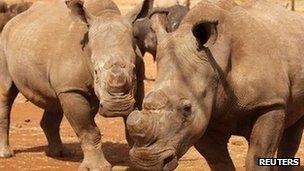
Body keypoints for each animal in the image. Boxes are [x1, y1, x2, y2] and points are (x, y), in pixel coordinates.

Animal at [0, 0, 148, 169]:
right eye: (96, 71)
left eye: (133, 70)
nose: (118, 107)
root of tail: (13, 20)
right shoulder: (71, 89)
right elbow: (88, 131)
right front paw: (98, 168)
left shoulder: (138, 84)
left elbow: (132, 125)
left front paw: (138, 163)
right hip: (4, 41)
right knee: (6, 92)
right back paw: (6, 154)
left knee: (54, 101)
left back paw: (58, 154)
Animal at [127, 0, 304, 170]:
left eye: (187, 109)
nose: (145, 160)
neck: (216, 58)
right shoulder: (203, 115)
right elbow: (219, 161)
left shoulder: (270, 103)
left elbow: (258, 156)